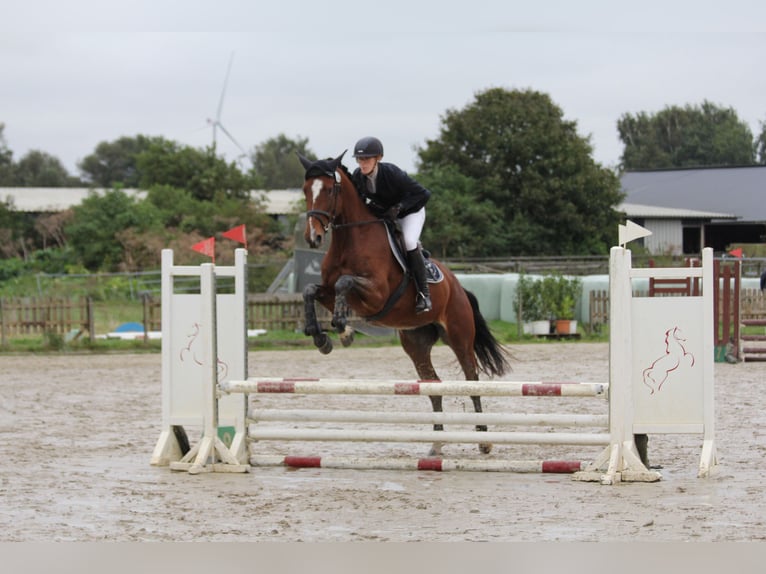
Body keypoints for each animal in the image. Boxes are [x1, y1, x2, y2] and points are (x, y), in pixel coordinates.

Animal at [297, 151, 510, 455]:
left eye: (329, 190)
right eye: (306, 190)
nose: (313, 237)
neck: (350, 238)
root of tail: (457, 285)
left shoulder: (377, 295)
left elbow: (344, 283)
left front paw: (341, 328)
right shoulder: (327, 291)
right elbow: (310, 290)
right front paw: (322, 337)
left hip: (459, 336)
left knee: (472, 379)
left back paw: (483, 440)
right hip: (416, 342)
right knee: (433, 385)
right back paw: (437, 444)